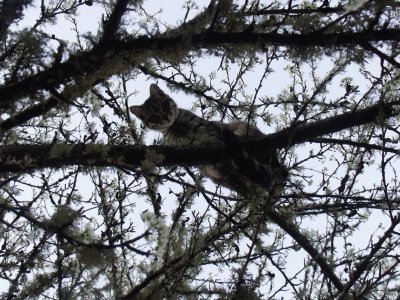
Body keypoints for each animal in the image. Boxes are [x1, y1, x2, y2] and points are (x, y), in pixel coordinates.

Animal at [130, 84, 286, 195]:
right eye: (154, 117)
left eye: (164, 105)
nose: (166, 117)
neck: (175, 127)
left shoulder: (206, 128)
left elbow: (212, 137)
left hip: (243, 129)